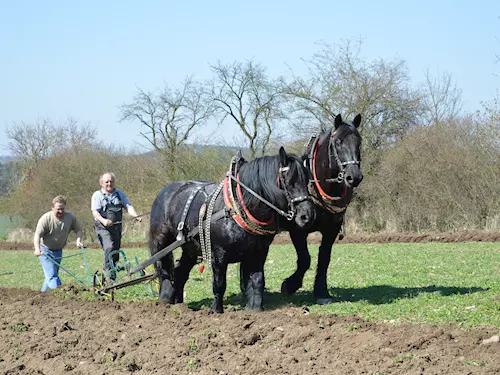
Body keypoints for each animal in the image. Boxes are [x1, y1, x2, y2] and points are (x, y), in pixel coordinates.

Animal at [148, 147, 314, 314]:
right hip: (161, 241)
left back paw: (179, 305)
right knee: (163, 268)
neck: (238, 208)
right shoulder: (219, 255)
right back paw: (166, 297)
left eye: (307, 180)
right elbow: (219, 284)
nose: (307, 216)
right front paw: (217, 310)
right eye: (289, 181)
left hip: (190, 248)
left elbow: (257, 280)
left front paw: (255, 309)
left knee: (180, 272)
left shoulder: (258, 252)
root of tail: (166, 191)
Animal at [280, 112, 362, 306]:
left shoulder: (331, 229)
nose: (354, 176)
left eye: (359, 142)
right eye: (338, 142)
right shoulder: (298, 230)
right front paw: (289, 285)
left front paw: (321, 291)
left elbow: (324, 258)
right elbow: (305, 259)